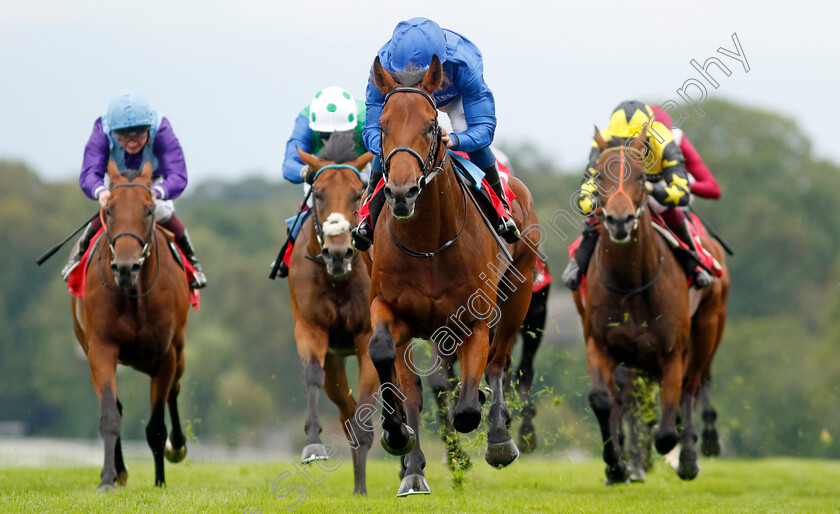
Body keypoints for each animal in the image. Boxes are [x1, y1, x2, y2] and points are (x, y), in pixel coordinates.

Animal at [69, 160, 191, 488]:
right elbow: (110, 415)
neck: (135, 296)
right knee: (118, 405)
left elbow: (156, 427)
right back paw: (120, 471)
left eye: (149, 209)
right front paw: (107, 479)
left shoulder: (164, 355)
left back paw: (178, 446)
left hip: (178, 351)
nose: (125, 267)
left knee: (175, 389)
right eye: (109, 209)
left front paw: (160, 482)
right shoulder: (101, 348)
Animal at [288, 132, 380, 492]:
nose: (338, 253)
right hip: (336, 361)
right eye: (319, 193)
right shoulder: (311, 329)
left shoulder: (367, 335)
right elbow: (312, 376)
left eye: (357, 193)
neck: (338, 279)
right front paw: (313, 443)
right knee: (346, 408)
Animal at [366, 55, 540, 492]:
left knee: (497, 363)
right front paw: (396, 433)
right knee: (416, 386)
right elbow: (383, 352)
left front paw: (487, 420)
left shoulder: (474, 320)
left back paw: (499, 435)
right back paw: (413, 470)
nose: (401, 193)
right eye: (382, 126)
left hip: (519, 293)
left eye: (431, 125)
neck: (430, 241)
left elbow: (467, 407)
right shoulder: (387, 306)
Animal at [572, 130, 708, 482]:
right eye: (599, 176)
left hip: (707, 330)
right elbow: (602, 399)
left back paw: (687, 459)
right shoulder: (599, 343)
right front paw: (615, 464)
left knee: (690, 388)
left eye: (641, 176)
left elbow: (667, 425)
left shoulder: (672, 352)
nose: (619, 220)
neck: (631, 282)